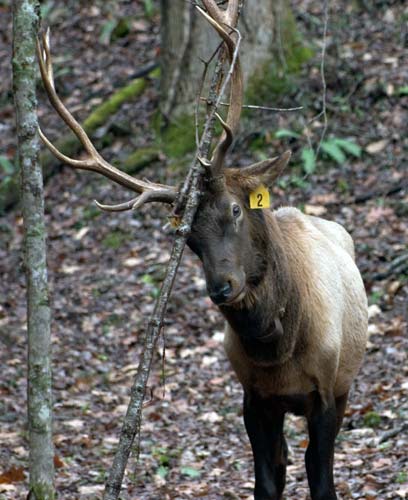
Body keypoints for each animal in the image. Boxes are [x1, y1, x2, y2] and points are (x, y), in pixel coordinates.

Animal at [36, 1, 368, 498]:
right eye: (188, 236)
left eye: (234, 209)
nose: (221, 287)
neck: (279, 350)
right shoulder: (254, 396)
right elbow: (266, 480)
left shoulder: (327, 391)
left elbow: (322, 479)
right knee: (282, 461)